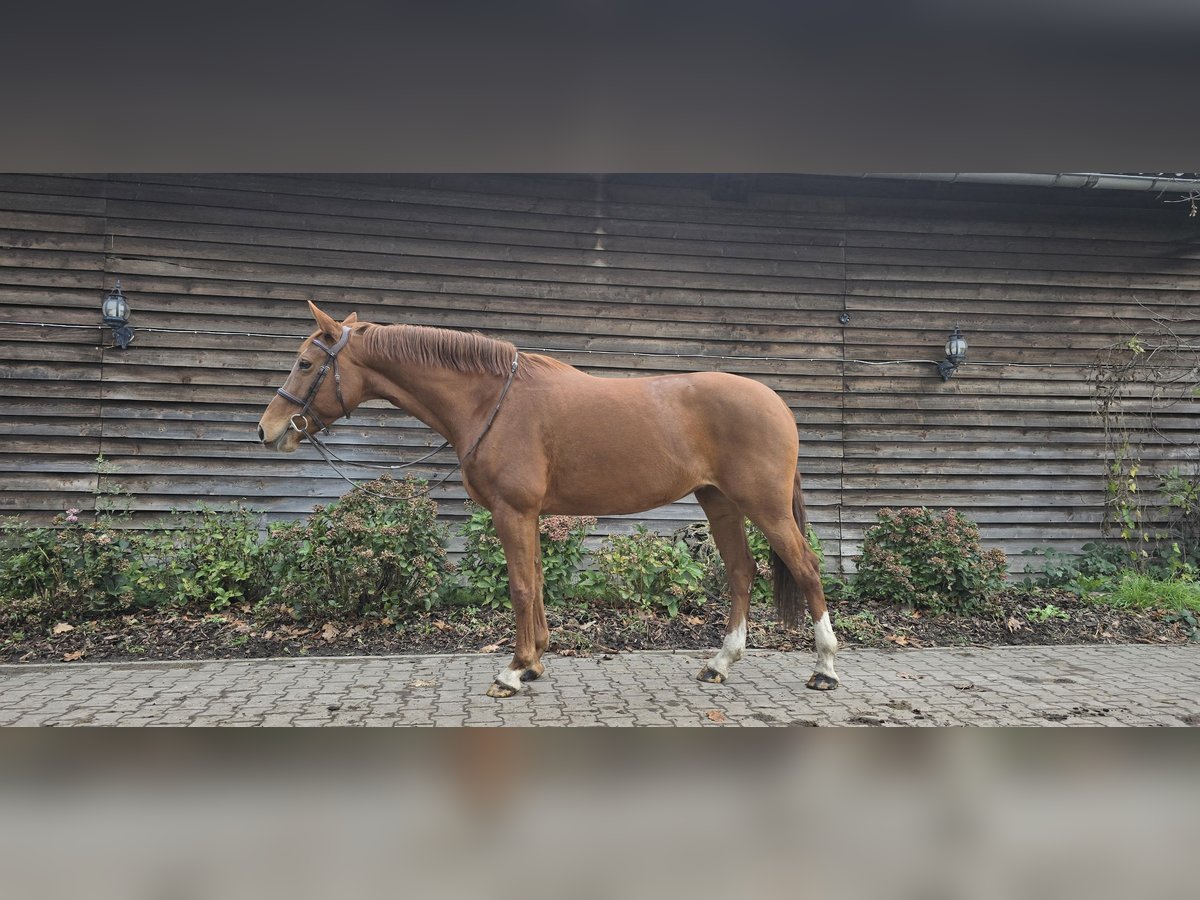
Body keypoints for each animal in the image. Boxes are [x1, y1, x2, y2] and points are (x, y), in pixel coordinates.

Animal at [257, 302, 838, 698]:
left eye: (305, 364)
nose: (268, 430)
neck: (491, 401)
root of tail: (777, 404)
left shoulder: (512, 511)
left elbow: (519, 587)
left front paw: (513, 671)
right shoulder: (530, 514)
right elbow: (535, 583)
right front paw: (534, 662)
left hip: (764, 506)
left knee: (806, 567)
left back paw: (825, 668)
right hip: (719, 502)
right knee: (741, 572)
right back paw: (721, 662)